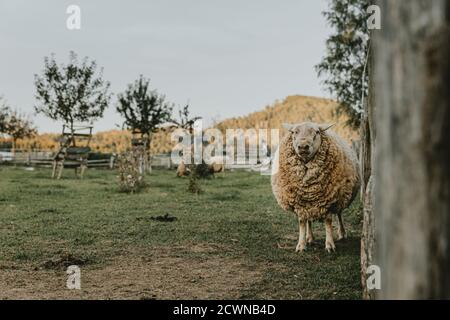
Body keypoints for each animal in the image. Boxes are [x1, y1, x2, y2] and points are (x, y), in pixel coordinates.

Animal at [270, 122, 358, 252]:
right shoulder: (299, 203)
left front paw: (330, 245)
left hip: (341, 197)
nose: (303, 146)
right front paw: (301, 245)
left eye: (317, 132)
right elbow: (302, 222)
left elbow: (328, 221)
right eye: (294, 132)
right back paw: (309, 237)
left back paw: (342, 233)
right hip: (309, 205)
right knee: (309, 220)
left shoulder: (329, 200)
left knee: (339, 214)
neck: (308, 188)